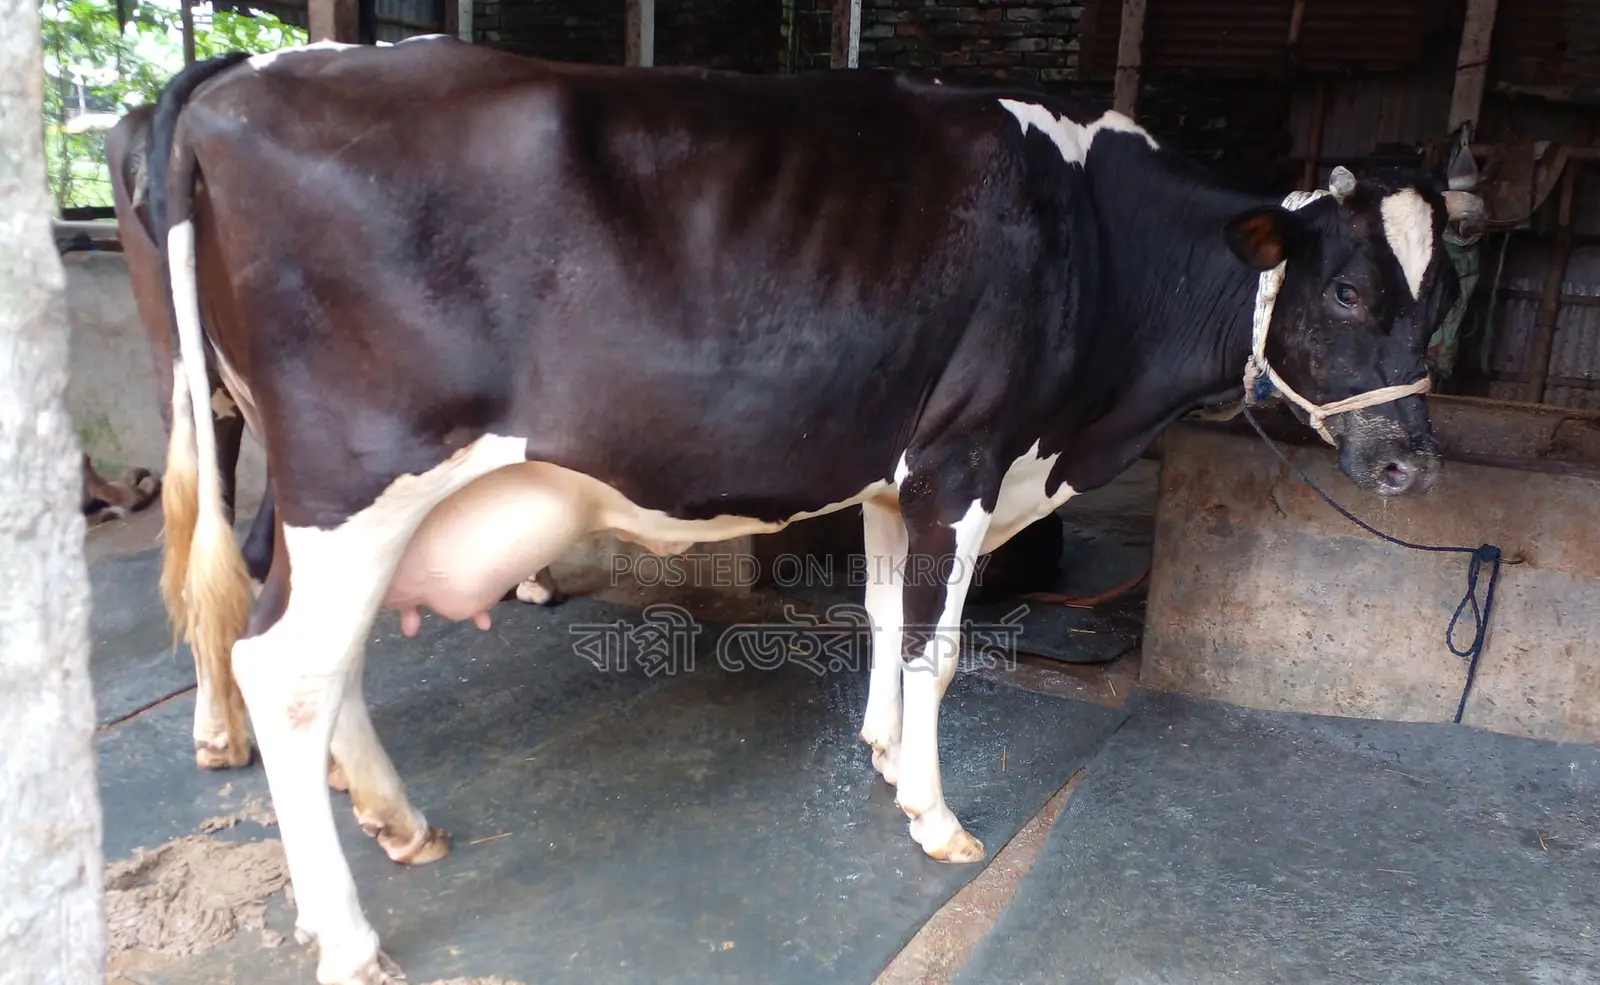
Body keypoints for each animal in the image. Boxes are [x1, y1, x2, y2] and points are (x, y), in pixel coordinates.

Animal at [147, 39, 1476, 984]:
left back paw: (395, 818)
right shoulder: (963, 458)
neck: (1100, 245)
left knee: (315, 653)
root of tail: (250, 71)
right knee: (286, 670)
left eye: (1446, 295)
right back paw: (351, 933)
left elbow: (888, 618)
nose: (1410, 463)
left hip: (324, 499)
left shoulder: (897, 475)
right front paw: (935, 816)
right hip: (356, 479)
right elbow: (940, 648)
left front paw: (884, 753)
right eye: (1346, 289)